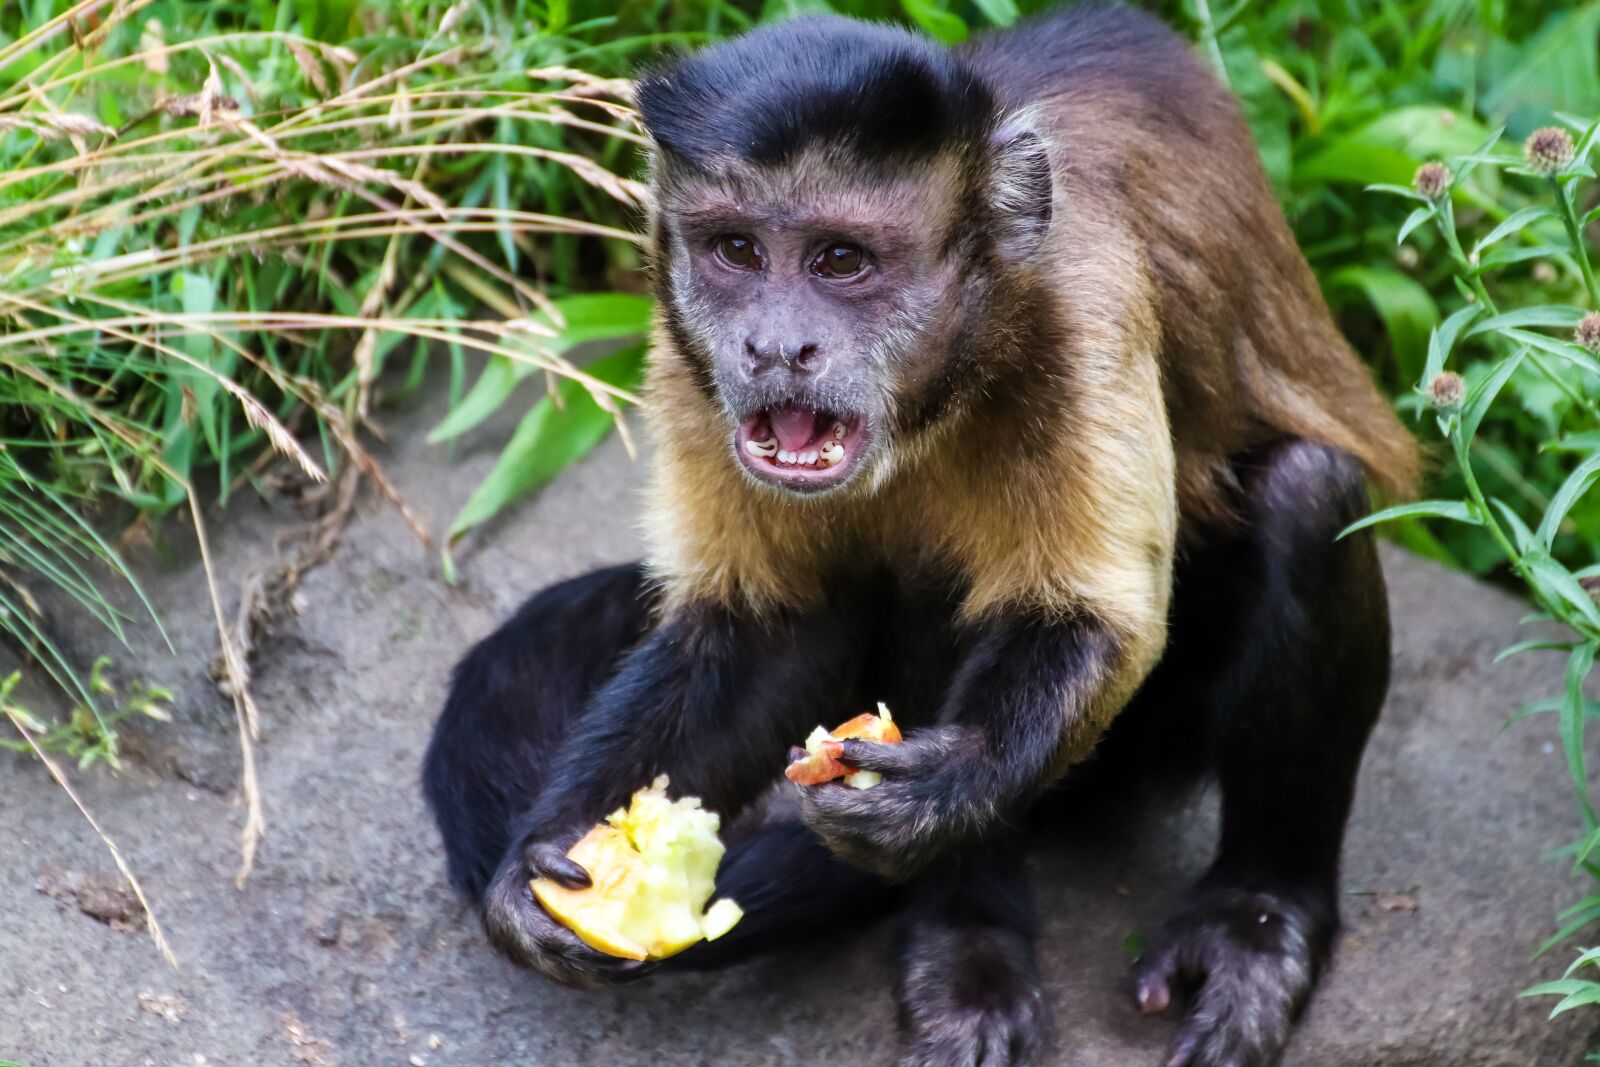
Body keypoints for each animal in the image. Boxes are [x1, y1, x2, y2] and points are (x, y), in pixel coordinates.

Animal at [421, 6, 1420, 1066]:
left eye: (840, 261)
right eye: (735, 250)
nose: (774, 347)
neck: (942, 393)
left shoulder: (1086, 301)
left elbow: (1098, 625)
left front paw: (944, 786)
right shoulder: (685, 363)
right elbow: (770, 627)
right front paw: (553, 845)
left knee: (1308, 492)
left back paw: (1254, 914)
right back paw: (965, 940)